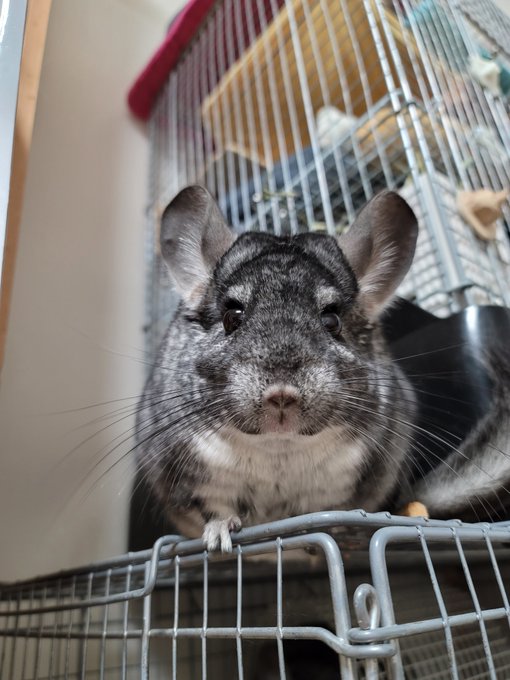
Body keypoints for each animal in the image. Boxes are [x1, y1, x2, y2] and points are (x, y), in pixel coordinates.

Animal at [135, 185, 420, 551]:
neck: (278, 446)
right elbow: (216, 509)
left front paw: (335, 534)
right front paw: (220, 539)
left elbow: (327, 512)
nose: (282, 395)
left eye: (332, 320)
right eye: (231, 316)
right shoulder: (191, 472)